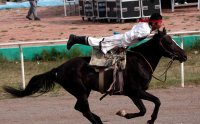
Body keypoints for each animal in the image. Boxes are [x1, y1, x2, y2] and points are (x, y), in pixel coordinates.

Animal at [3, 28, 187, 124]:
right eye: (168, 42)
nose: (184, 55)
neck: (140, 61)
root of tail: (58, 69)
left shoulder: (133, 93)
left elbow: (144, 109)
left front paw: (129, 115)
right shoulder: (136, 91)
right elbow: (155, 102)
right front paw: (132, 115)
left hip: (83, 92)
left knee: (80, 108)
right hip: (81, 91)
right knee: (84, 109)